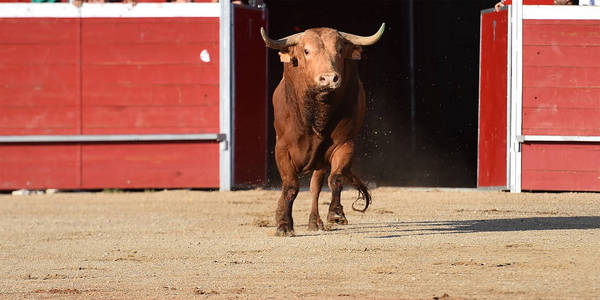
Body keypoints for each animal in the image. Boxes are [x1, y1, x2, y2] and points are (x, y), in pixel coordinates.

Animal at [262, 22, 384, 237]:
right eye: (306, 50)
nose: (328, 78)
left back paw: (315, 221)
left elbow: (335, 179)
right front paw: (284, 224)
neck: (318, 113)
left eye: (340, 49)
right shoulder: (282, 149)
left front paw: (335, 213)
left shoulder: (344, 145)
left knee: (315, 187)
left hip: (321, 162)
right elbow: (290, 186)